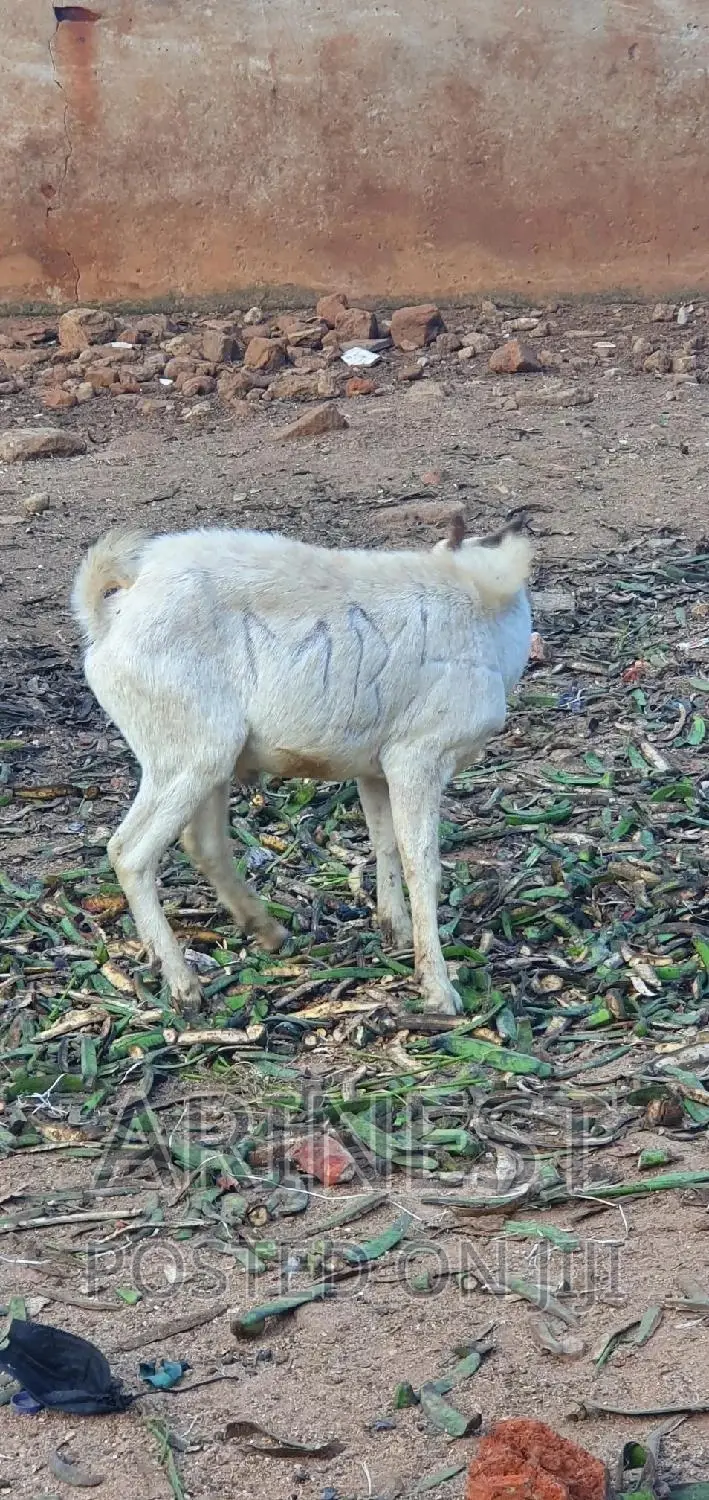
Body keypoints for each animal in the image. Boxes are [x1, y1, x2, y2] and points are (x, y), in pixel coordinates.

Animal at [72, 517, 532, 1015]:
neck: (479, 607)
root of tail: (109, 616)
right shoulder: (418, 760)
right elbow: (421, 863)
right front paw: (438, 991)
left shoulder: (375, 770)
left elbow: (384, 843)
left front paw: (396, 932)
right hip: (185, 759)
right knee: (130, 853)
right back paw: (184, 984)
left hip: (204, 763)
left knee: (203, 843)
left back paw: (268, 931)